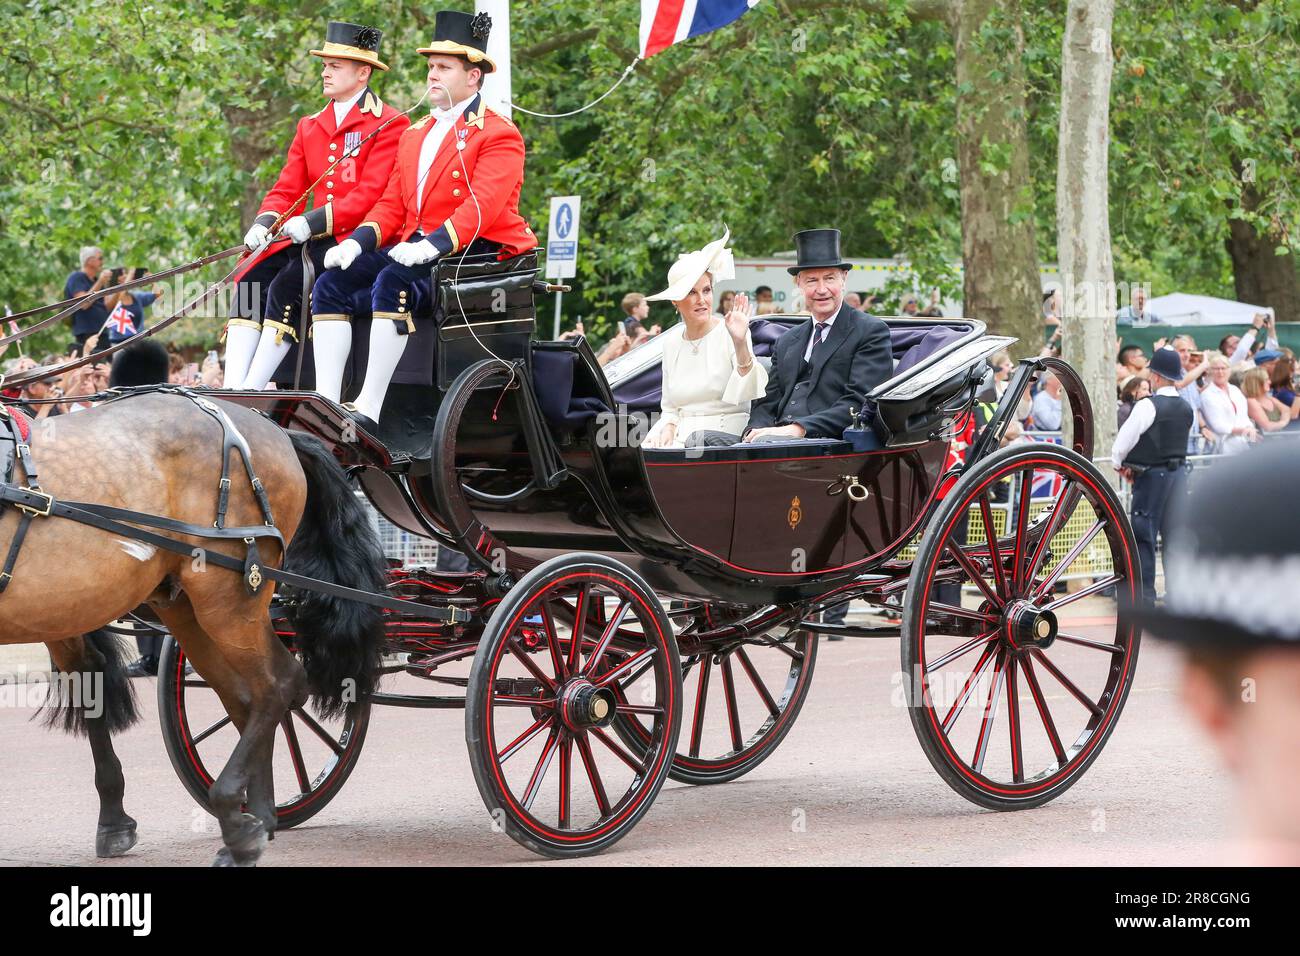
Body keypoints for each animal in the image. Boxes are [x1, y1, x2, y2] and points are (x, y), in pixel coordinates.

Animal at [0, 390, 384, 868]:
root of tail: (273, 428)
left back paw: (236, 818)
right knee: (248, 697)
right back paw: (257, 819)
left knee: (280, 683)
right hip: (183, 607)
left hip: (229, 601)